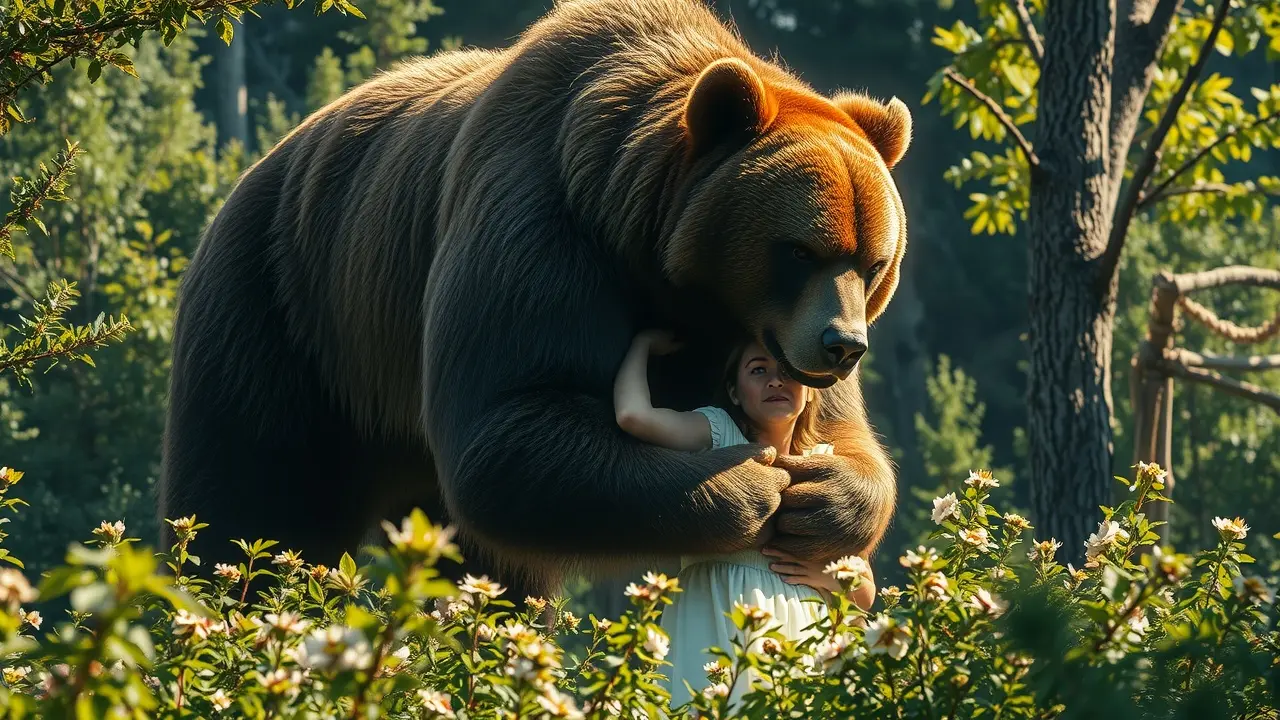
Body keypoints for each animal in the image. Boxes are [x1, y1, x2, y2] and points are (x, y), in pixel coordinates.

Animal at [159, 0, 911, 598]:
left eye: (873, 261)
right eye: (800, 250)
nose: (843, 345)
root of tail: (253, 170)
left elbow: (846, 435)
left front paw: (824, 496)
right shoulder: (539, 232)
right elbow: (511, 432)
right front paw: (749, 488)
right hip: (288, 313)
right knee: (253, 494)